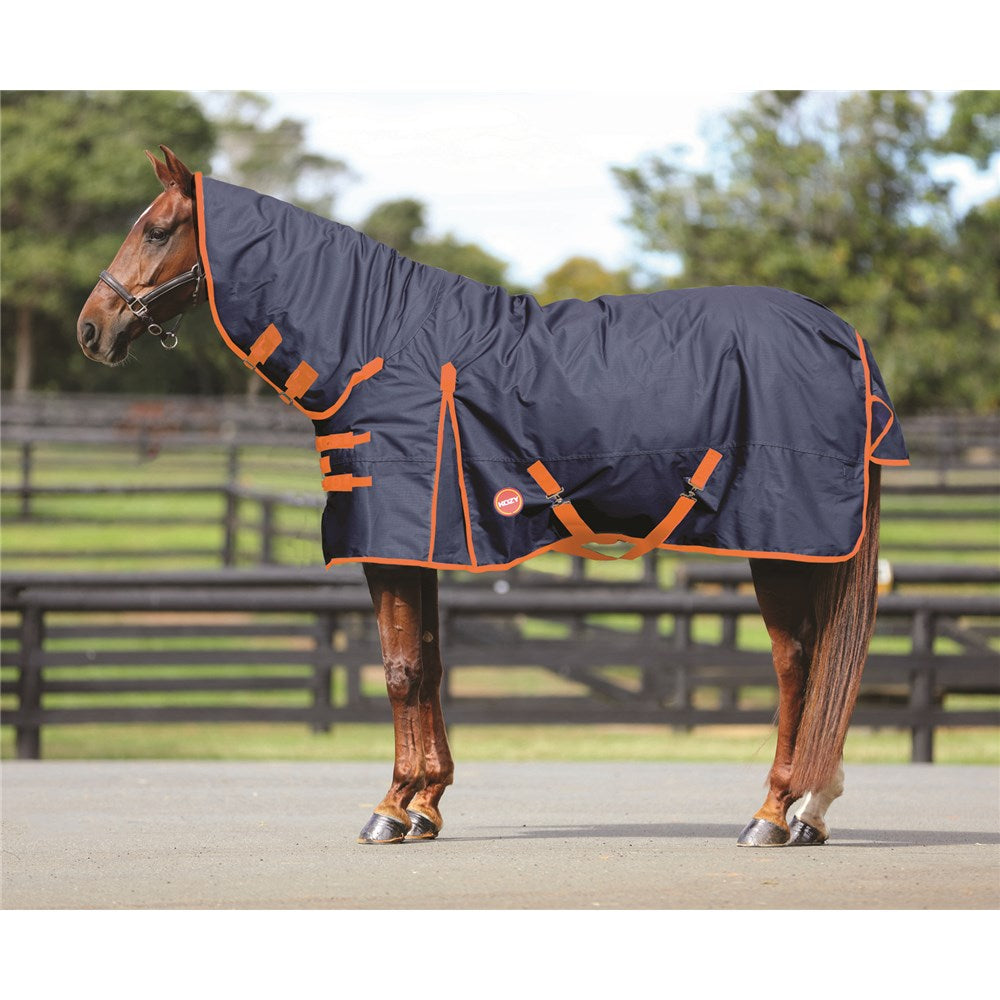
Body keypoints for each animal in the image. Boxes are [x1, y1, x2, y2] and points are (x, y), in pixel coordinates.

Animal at [77, 146, 909, 847]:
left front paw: (389, 809)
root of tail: (845, 338)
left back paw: (773, 812)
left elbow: (399, 670)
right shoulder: (424, 546)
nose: (91, 328)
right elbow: (430, 662)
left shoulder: (391, 544)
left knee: (797, 665)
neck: (378, 343)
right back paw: (809, 811)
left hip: (780, 548)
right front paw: (425, 804)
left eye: (156, 230)